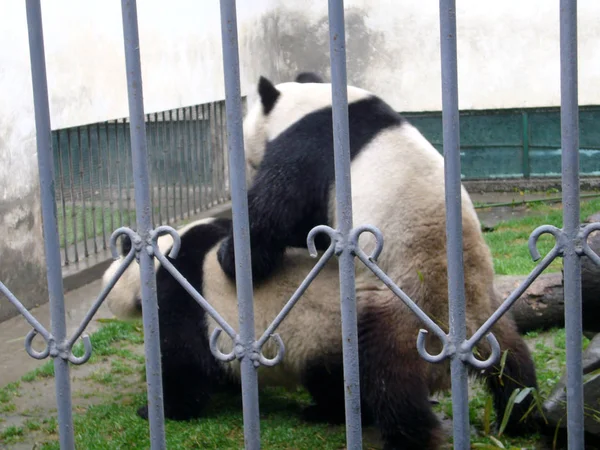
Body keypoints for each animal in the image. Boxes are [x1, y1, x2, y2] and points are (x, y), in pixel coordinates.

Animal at [103, 216, 540, 448]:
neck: (159, 256)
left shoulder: (187, 296)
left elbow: (186, 364)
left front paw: (157, 409)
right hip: (489, 325)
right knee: (513, 365)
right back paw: (523, 414)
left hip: (355, 333)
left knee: (367, 385)